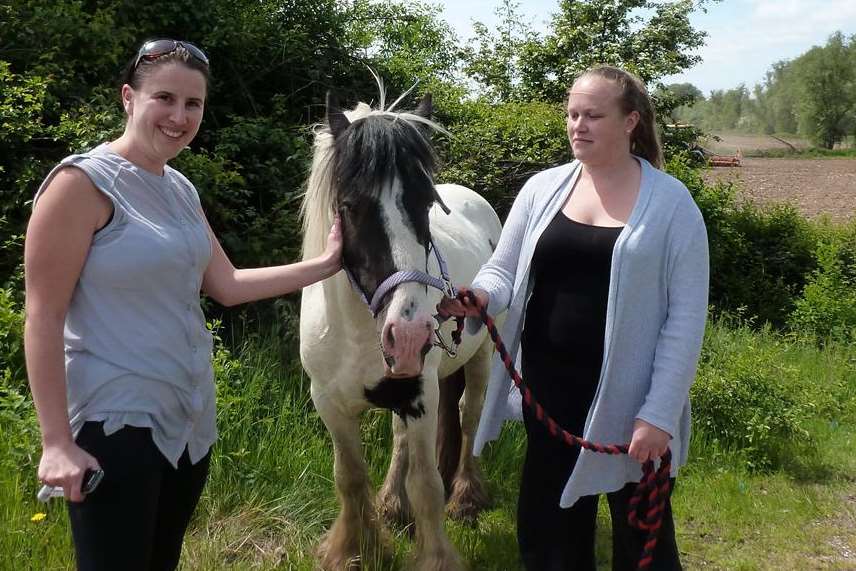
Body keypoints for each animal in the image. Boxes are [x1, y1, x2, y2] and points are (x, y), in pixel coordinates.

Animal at [300, 85, 502, 571]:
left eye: (426, 205)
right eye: (350, 206)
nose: (409, 335)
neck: (355, 334)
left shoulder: (422, 395)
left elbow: (427, 485)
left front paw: (435, 556)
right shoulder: (329, 403)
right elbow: (350, 477)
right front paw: (354, 548)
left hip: (480, 360)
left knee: (468, 418)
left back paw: (466, 497)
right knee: (400, 440)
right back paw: (392, 506)